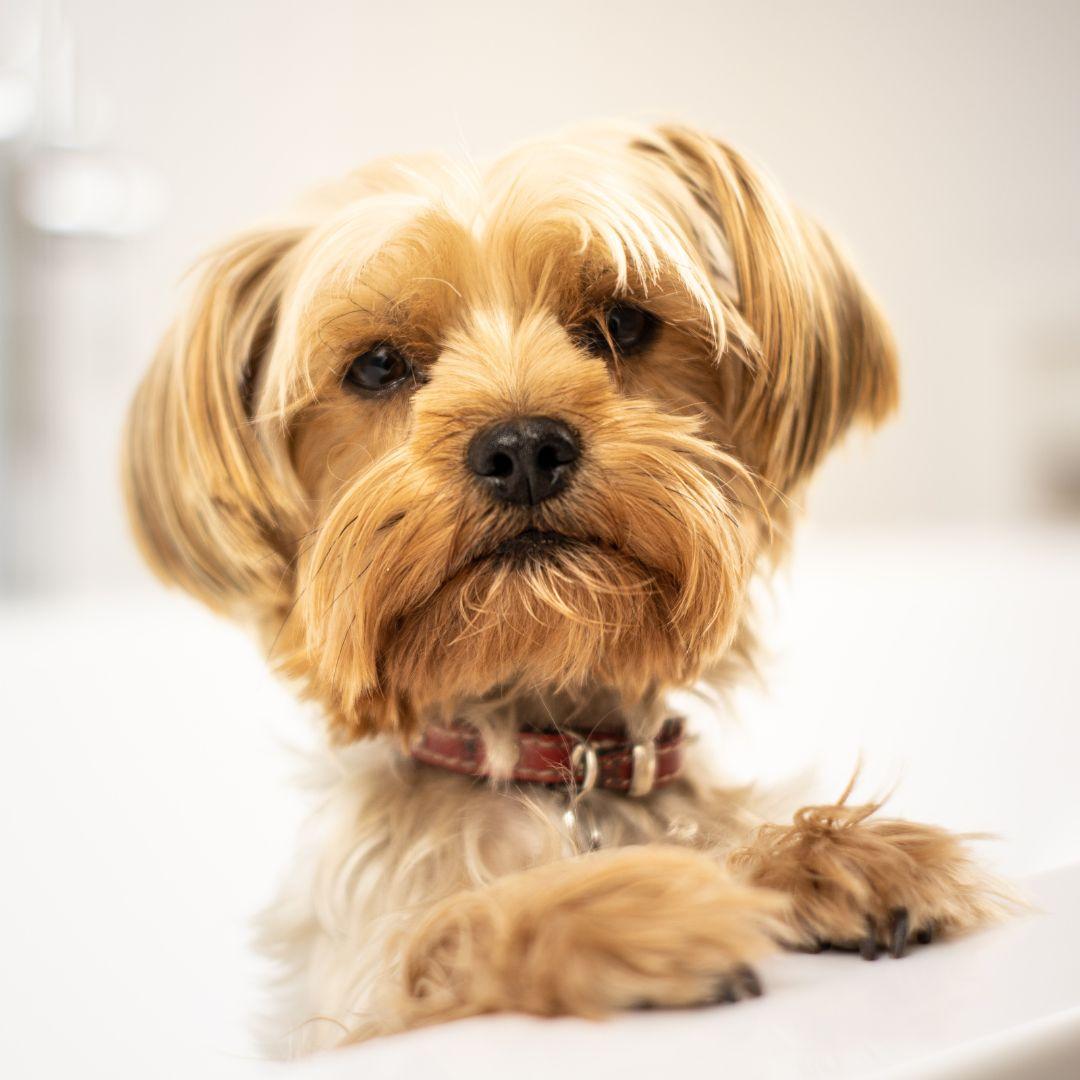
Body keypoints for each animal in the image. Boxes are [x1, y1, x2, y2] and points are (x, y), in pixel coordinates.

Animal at [122, 120, 1006, 1054]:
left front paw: (823, 856)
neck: (554, 760)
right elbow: (454, 931)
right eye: (377, 365)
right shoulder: (358, 1010)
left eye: (621, 321)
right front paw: (627, 914)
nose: (522, 447)